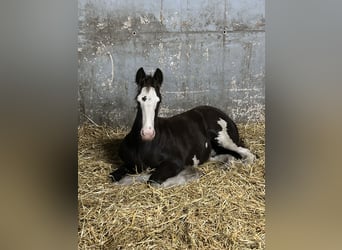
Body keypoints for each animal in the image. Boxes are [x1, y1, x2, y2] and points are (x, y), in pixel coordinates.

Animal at [109, 67, 254, 187]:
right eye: (138, 99)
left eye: (159, 100)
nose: (148, 133)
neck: (145, 146)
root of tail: (224, 114)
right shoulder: (129, 164)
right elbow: (113, 176)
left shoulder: (175, 162)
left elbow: (153, 179)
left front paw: (189, 174)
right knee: (225, 156)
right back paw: (226, 165)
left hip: (224, 139)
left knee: (248, 154)